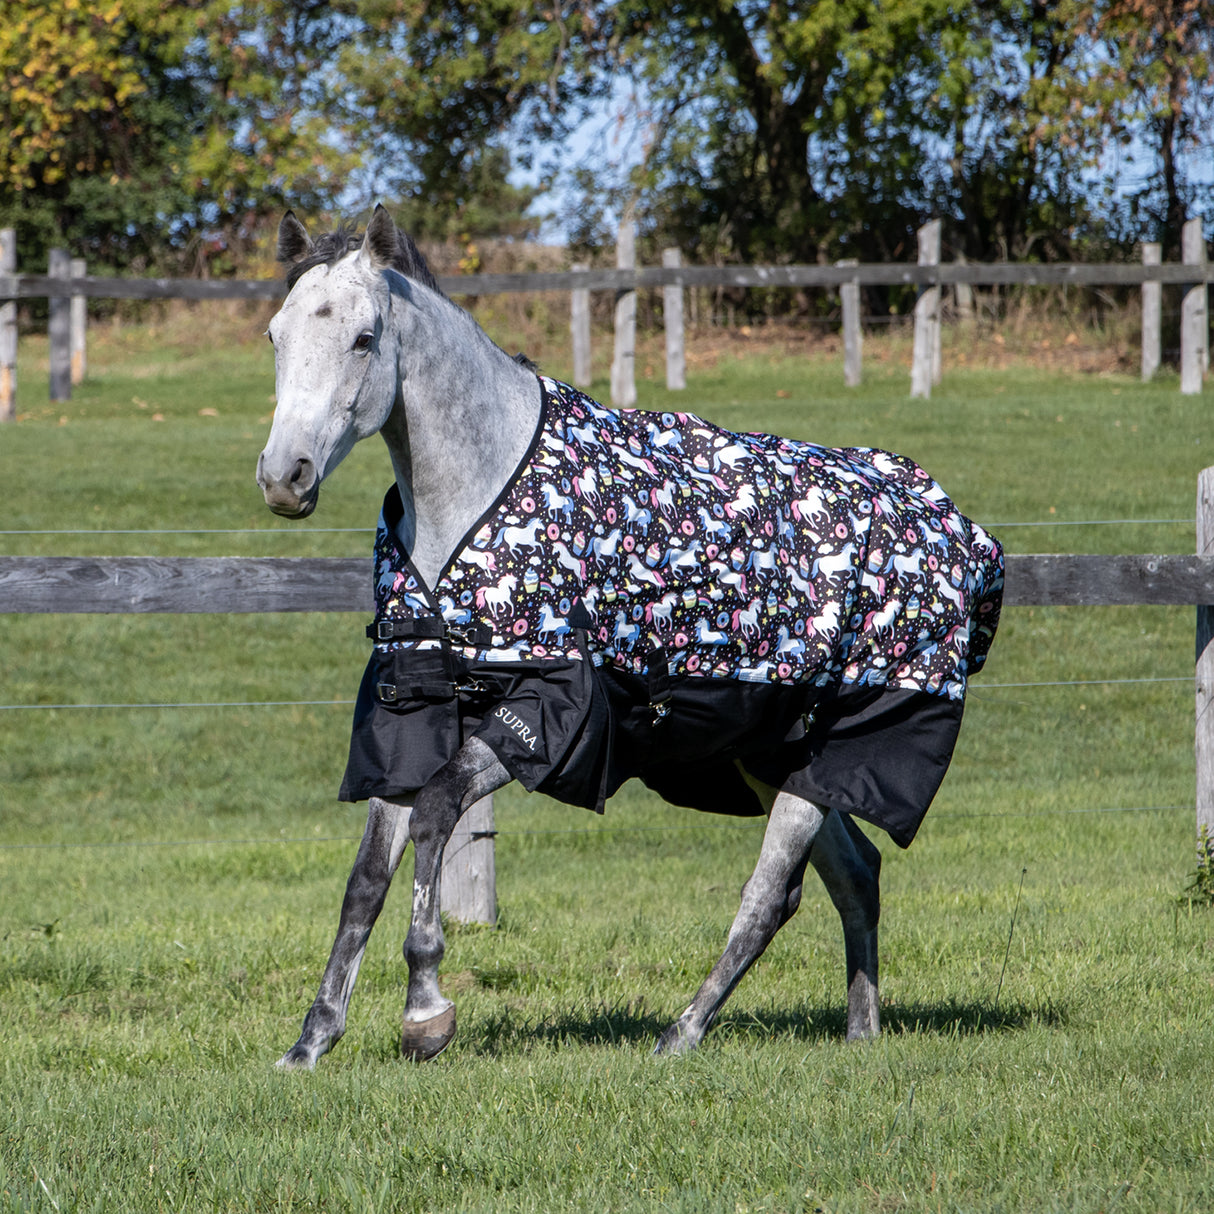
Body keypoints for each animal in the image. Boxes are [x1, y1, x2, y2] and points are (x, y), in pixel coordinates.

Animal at [257, 205, 1003, 1069]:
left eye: (364, 338)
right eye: (276, 335)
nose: (284, 478)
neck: (481, 486)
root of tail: (959, 528)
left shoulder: (549, 713)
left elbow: (438, 815)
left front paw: (426, 1012)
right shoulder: (410, 708)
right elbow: (367, 878)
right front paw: (312, 1041)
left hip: (843, 748)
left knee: (770, 895)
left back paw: (680, 1035)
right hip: (775, 755)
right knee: (857, 874)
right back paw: (858, 1031)